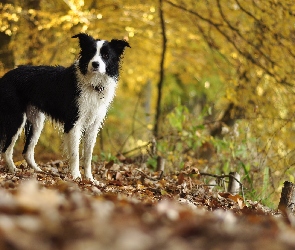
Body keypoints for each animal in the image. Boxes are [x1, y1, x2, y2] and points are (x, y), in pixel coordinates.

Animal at [0, 33, 131, 182]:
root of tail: (5, 77)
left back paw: (38, 171)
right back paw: (13, 170)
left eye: (106, 55)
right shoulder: (73, 123)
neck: (92, 85)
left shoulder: (93, 126)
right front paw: (76, 177)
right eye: (91, 53)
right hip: (16, 118)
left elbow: (88, 156)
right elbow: (75, 154)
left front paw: (90, 179)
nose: (95, 64)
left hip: (37, 122)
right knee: (6, 150)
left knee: (26, 151)